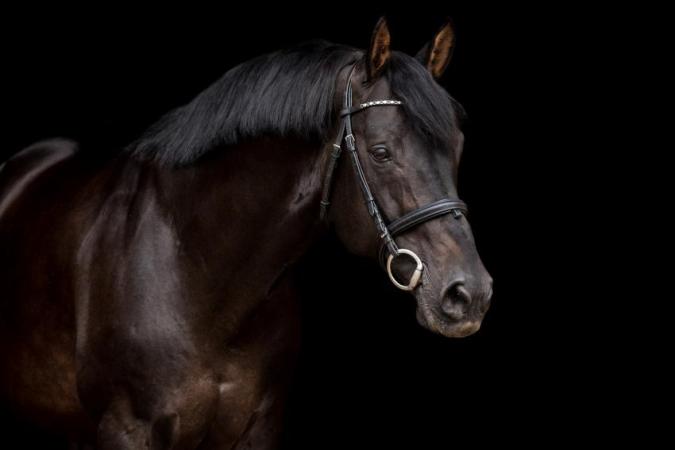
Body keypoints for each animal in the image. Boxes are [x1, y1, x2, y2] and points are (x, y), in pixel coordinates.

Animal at [0, 18, 492, 449]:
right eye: (382, 152)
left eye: (458, 147)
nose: (469, 294)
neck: (197, 272)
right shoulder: (127, 430)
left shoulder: (257, 429)